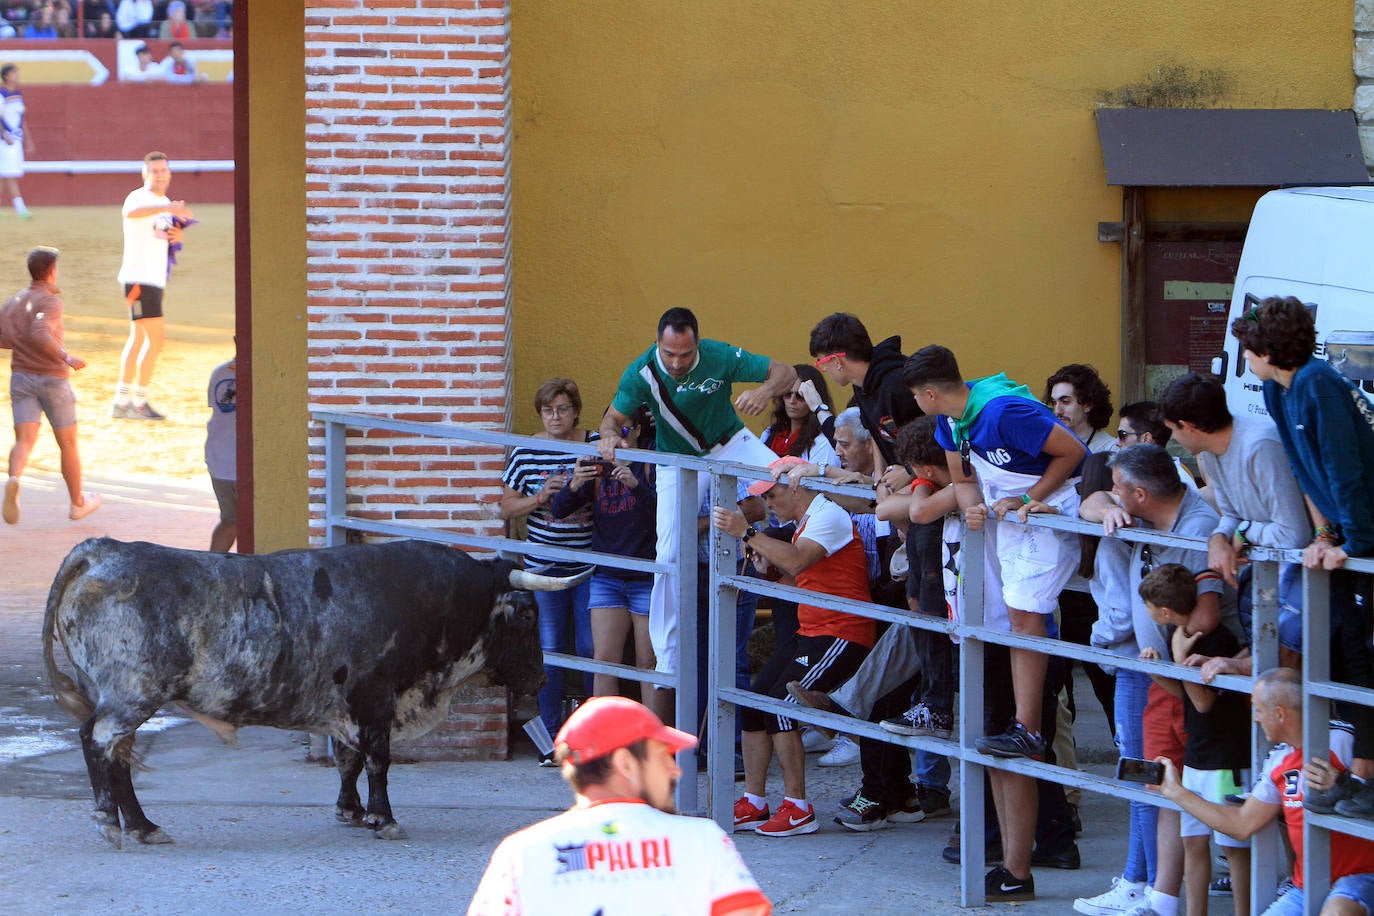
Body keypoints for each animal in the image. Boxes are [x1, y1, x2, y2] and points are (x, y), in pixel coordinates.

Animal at [45, 538, 582, 845]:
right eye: (528, 614)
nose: (539, 681)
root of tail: (104, 549)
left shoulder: (345, 707)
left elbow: (349, 759)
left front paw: (352, 811)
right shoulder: (375, 699)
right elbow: (377, 761)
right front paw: (383, 819)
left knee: (118, 755)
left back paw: (143, 826)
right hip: (131, 695)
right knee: (98, 741)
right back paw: (110, 823)